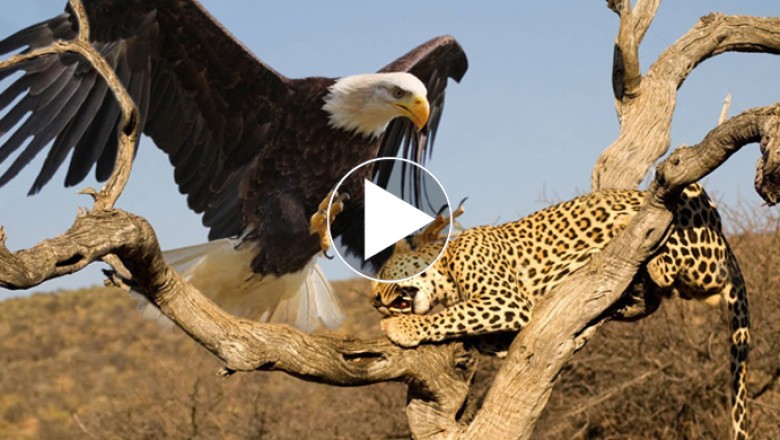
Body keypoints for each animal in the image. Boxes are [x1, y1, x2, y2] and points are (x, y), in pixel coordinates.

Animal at [372, 183, 750, 440]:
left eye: (385, 274)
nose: (374, 300)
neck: (446, 266)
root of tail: (723, 235)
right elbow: (476, 332)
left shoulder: (506, 300)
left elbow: (452, 315)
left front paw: (401, 328)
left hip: (696, 217)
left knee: (695, 273)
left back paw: (638, 235)